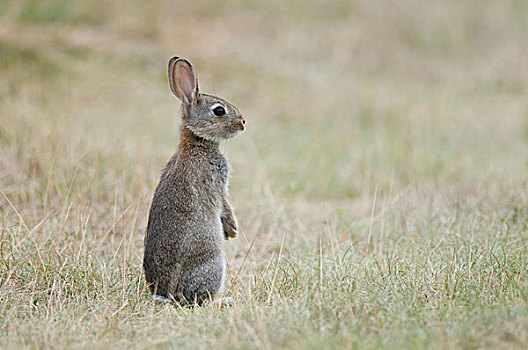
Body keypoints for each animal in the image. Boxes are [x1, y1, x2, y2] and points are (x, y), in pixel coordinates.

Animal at [142, 56, 245, 304]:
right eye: (219, 110)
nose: (243, 122)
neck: (197, 141)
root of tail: (165, 294)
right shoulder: (216, 184)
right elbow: (225, 205)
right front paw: (233, 230)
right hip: (214, 263)